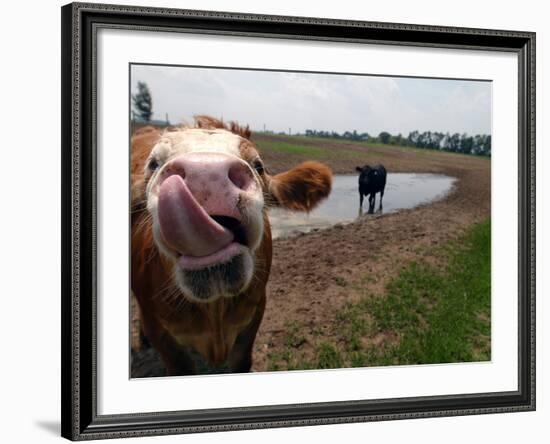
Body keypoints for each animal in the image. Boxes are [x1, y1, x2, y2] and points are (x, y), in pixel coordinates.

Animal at [132, 116, 334, 372]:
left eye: (258, 165)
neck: (214, 311)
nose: (205, 174)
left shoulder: (254, 315)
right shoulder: (159, 331)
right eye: (153, 164)